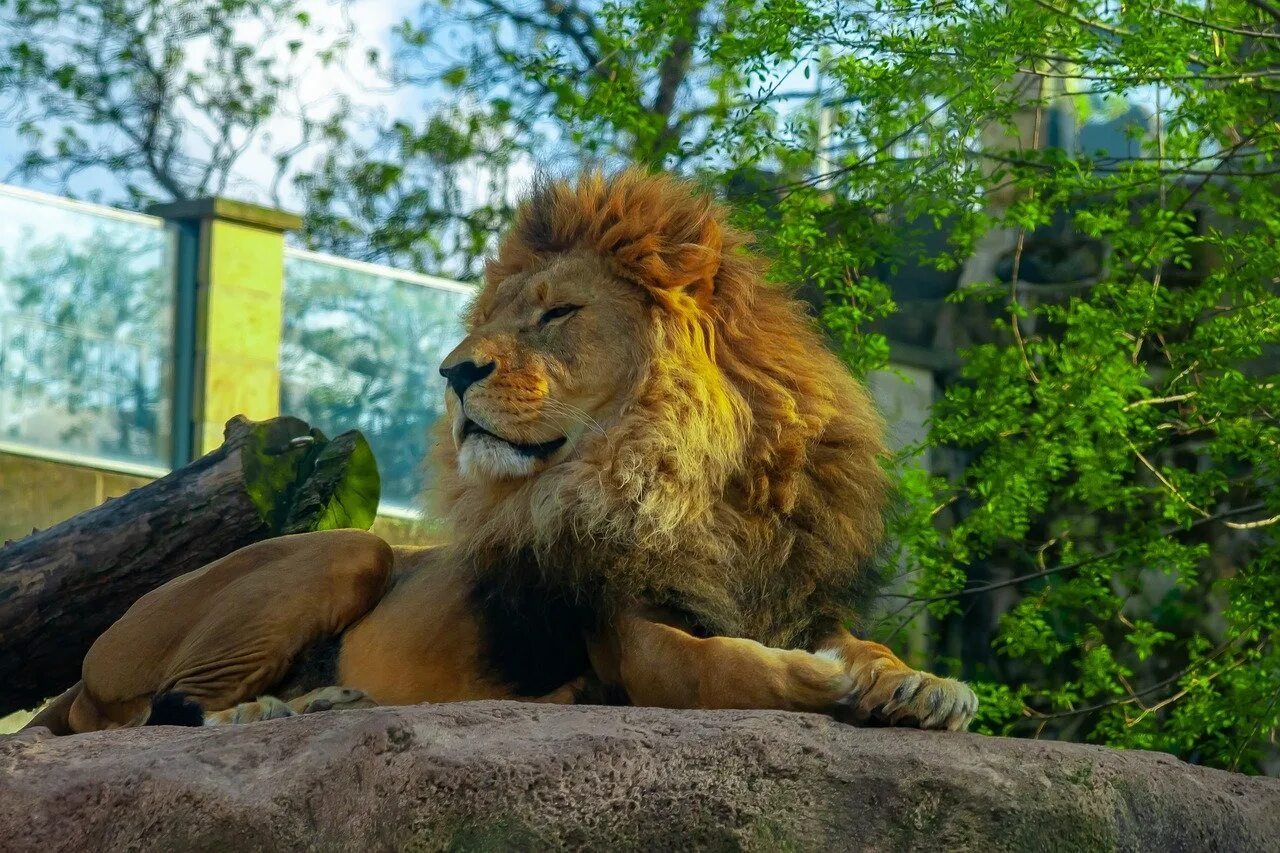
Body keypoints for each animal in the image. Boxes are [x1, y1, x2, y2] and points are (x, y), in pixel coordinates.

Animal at [27, 169, 967, 732]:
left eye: (556, 314)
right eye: (487, 323)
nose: (453, 371)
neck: (688, 486)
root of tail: (83, 663)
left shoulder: (797, 599)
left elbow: (861, 645)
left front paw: (920, 683)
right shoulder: (628, 636)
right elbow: (726, 668)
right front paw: (827, 684)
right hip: (346, 547)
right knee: (162, 711)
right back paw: (280, 711)